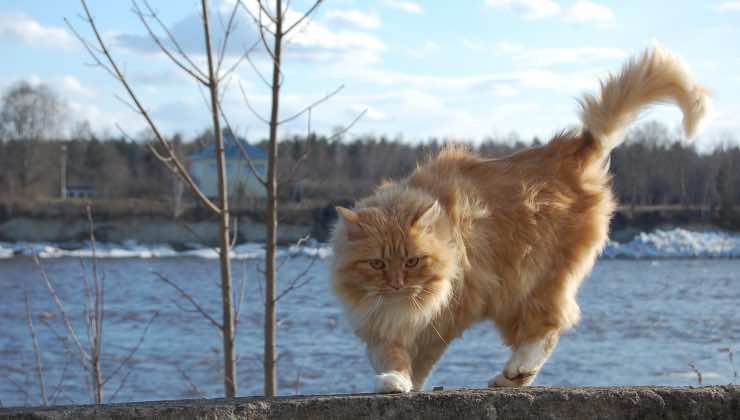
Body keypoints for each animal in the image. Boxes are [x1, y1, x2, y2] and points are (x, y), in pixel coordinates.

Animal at [330, 44, 712, 392]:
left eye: (412, 261)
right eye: (377, 264)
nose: (396, 284)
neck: (402, 306)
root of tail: (575, 148)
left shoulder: (447, 314)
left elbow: (421, 357)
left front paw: (409, 382)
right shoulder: (378, 323)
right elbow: (389, 354)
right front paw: (394, 379)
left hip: (532, 282)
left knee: (550, 327)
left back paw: (516, 369)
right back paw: (510, 378)